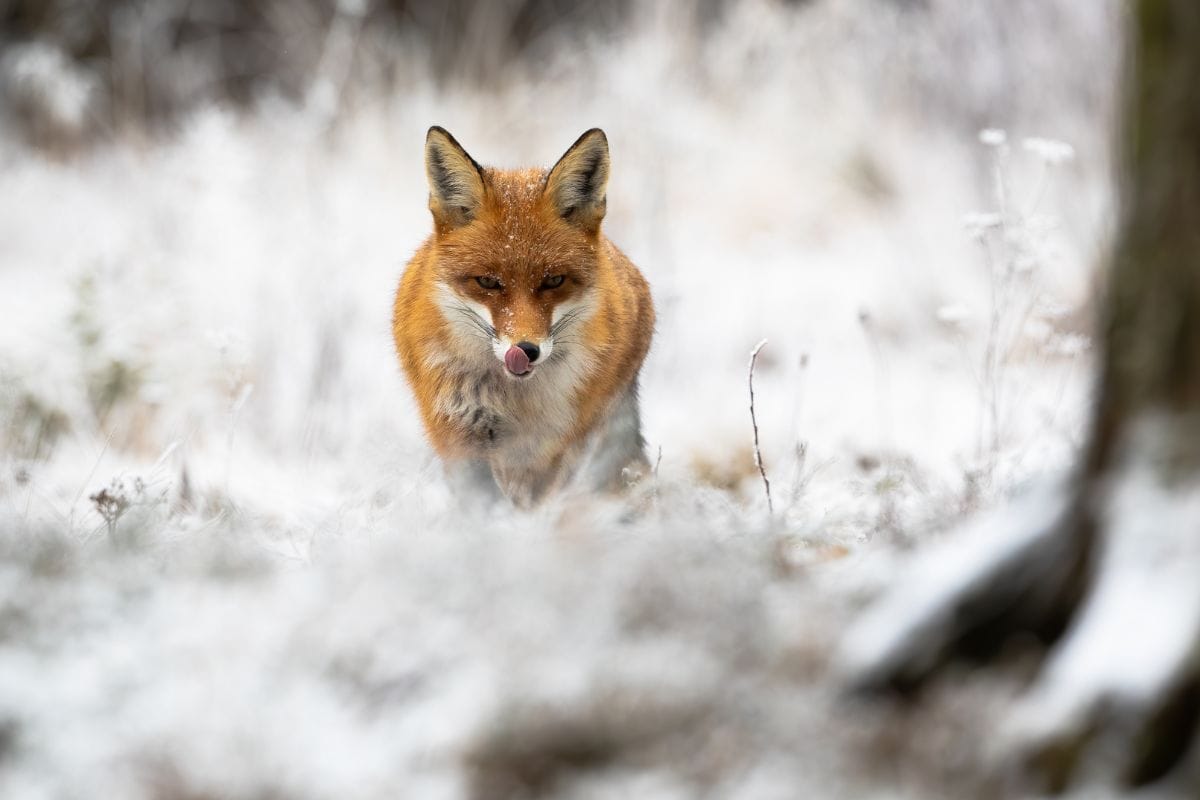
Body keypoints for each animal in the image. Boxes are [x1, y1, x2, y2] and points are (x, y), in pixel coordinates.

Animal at [393, 126, 657, 506]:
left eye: (554, 281)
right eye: (488, 282)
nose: (526, 350)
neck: (515, 401)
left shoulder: (554, 445)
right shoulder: (460, 434)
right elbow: (482, 504)